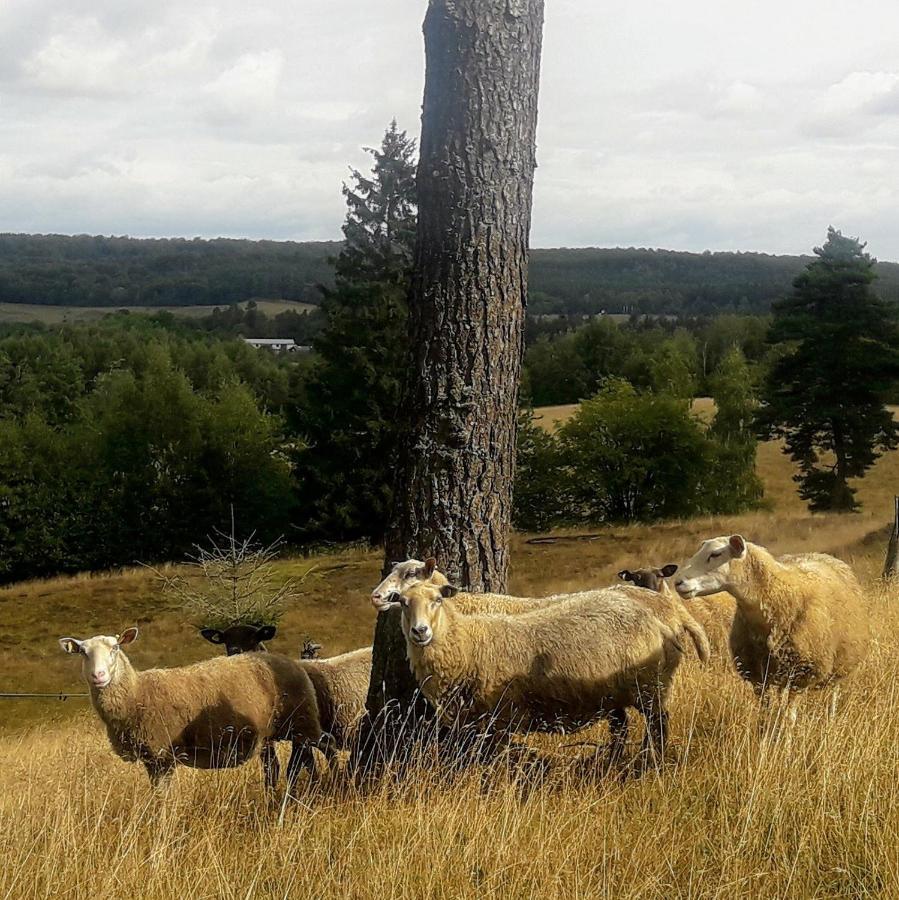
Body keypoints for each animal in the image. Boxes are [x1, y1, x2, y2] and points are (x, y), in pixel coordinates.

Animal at [61, 624, 332, 788]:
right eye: (82, 652)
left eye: (116, 647)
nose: (98, 676)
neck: (138, 692)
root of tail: (295, 663)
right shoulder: (151, 759)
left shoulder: (162, 756)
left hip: (301, 721)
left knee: (317, 750)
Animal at [390, 580, 692, 764]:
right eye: (403, 602)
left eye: (438, 599)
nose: (420, 632)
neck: (468, 643)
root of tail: (658, 622)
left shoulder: (501, 717)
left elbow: (495, 762)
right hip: (616, 692)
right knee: (621, 727)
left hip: (651, 686)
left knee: (658, 724)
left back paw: (653, 760)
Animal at [676, 536, 872, 716]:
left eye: (715, 554)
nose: (678, 582)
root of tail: (822, 555)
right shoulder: (757, 674)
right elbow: (766, 712)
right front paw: (764, 732)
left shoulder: (801, 674)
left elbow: (788, 715)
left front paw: (785, 733)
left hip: (840, 663)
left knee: (834, 691)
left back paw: (830, 718)